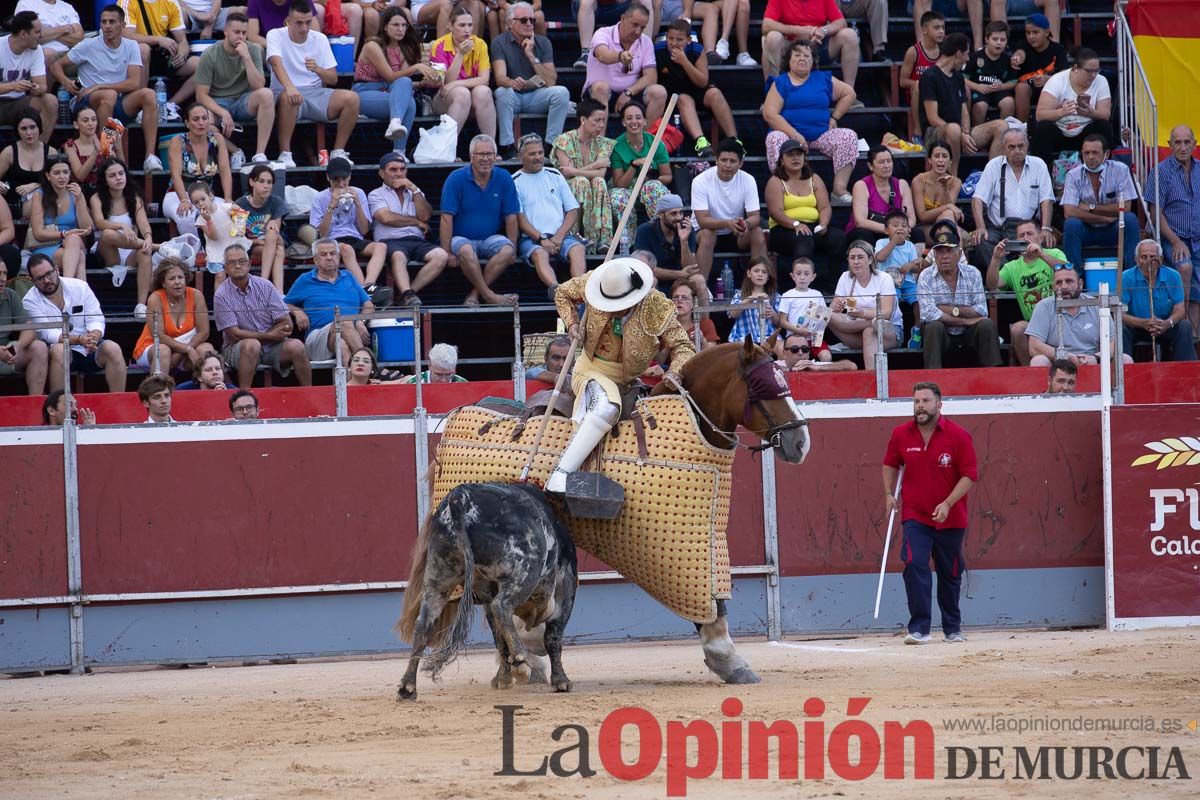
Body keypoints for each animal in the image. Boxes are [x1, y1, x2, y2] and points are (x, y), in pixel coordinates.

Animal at [396, 482, 578, 700]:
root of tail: (459, 498)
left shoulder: (487, 598)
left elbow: (500, 638)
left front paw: (502, 679)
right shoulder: (566, 586)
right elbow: (553, 636)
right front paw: (561, 681)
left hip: (438, 575)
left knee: (423, 625)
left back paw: (407, 687)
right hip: (526, 569)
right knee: (502, 605)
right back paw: (520, 655)